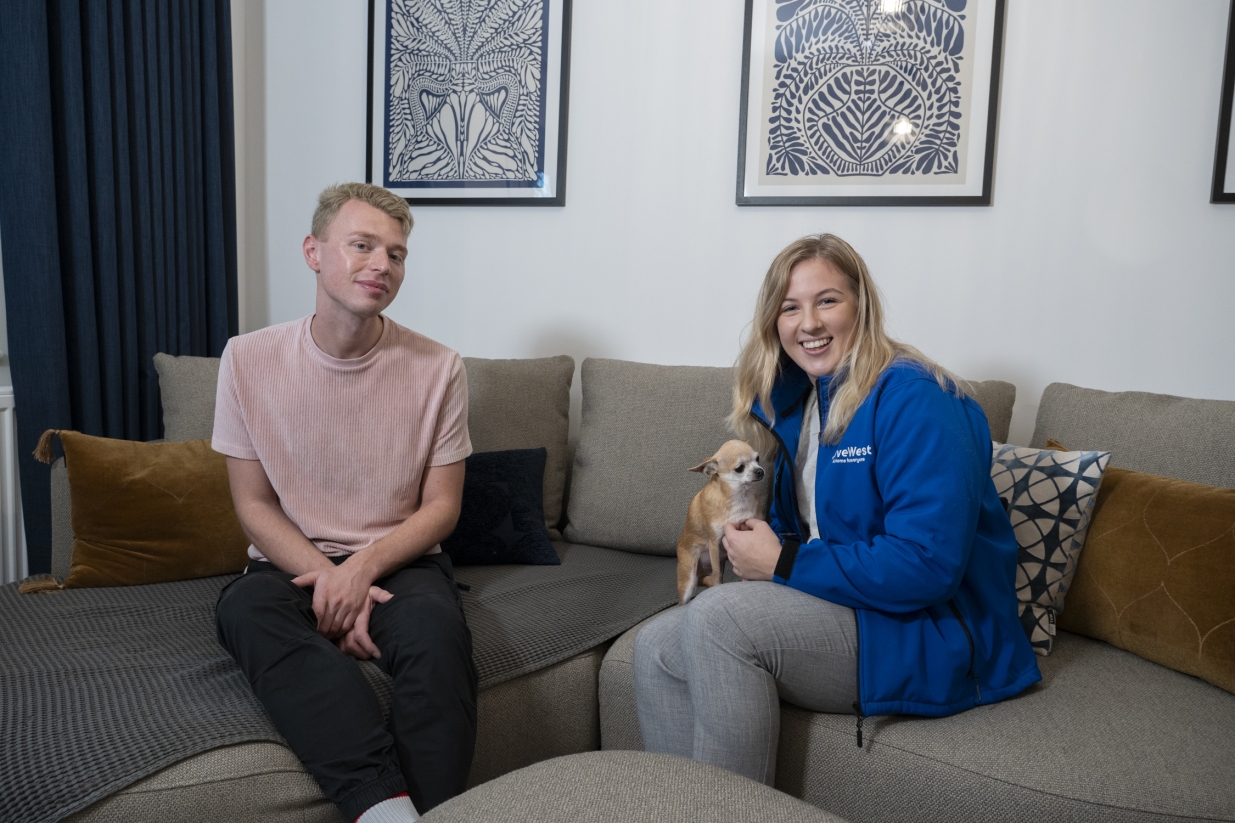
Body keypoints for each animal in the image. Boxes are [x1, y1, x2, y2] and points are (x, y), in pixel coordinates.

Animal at [676, 439, 760, 605]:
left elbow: (744, 572)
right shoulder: (714, 543)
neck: (740, 497)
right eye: (739, 468)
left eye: (758, 459)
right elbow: (716, 577)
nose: (760, 471)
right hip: (688, 577)